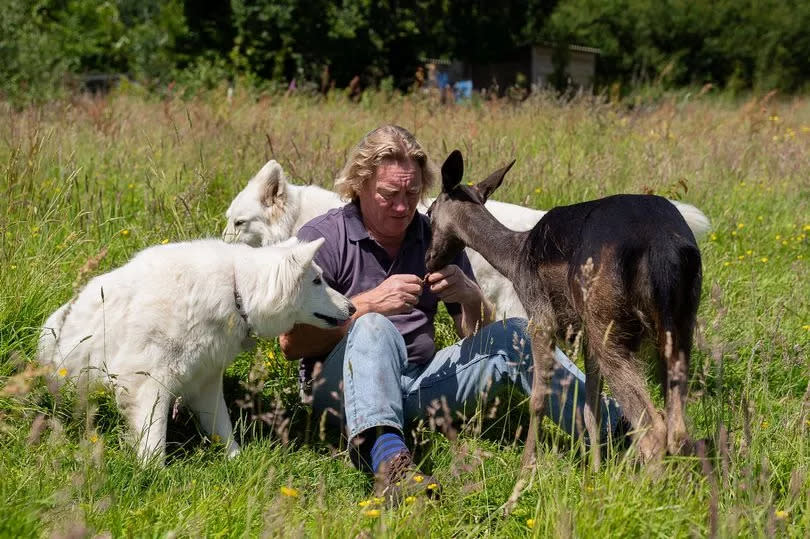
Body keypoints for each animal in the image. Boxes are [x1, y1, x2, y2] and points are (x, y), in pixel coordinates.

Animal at [38, 238, 352, 462]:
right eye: (317, 281)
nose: (352, 308)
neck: (235, 291)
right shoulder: (148, 381)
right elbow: (154, 439)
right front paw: (154, 475)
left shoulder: (206, 381)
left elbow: (223, 427)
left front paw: (236, 460)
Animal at [422, 150, 700, 484]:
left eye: (429, 213)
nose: (428, 259)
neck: (514, 258)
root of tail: (664, 244)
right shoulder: (585, 337)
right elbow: (590, 406)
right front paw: (593, 471)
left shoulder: (541, 318)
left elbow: (538, 399)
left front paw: (525, 473)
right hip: (679, 323)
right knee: (678, 429)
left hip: (608, 324)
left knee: (654, 428)